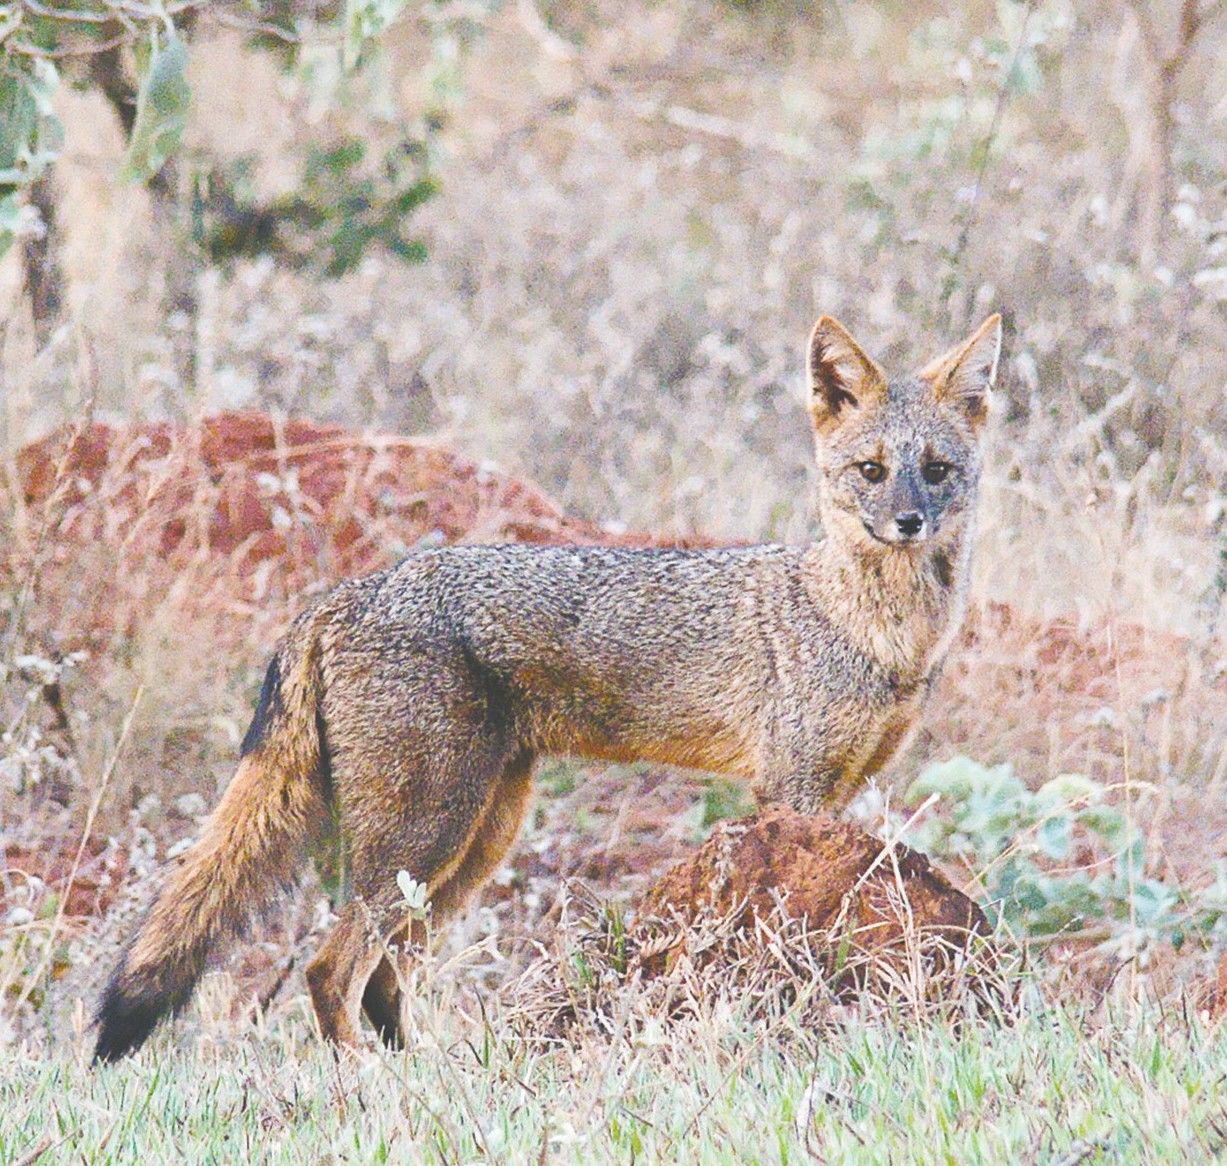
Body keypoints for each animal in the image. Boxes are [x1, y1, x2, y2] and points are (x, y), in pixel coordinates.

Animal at [92, 312, 1002, 1061]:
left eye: (936, 470)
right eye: (870, 470)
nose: (908, 522)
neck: (873, 627)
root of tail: (349, 591)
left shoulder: (837, 795)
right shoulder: (792, 790)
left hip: (473, 841)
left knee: (384, 975)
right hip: (425, 836)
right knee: (328, 966)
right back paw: (363, 1077)